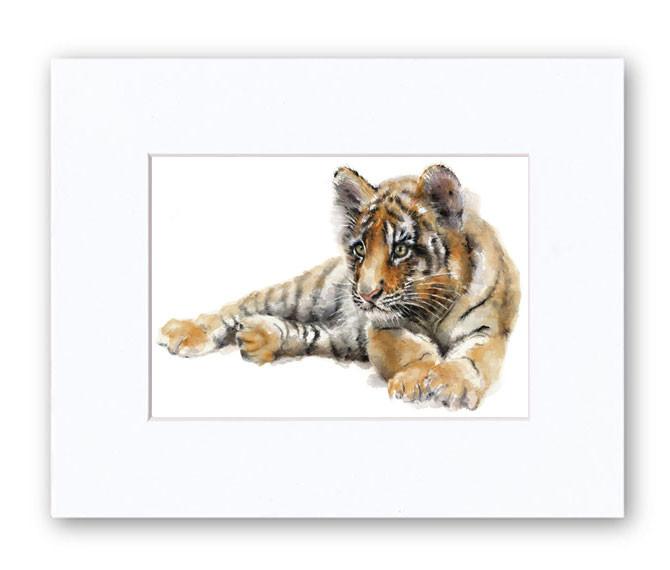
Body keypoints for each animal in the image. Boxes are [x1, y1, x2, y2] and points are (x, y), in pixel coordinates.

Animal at [158, 164, 520, 410]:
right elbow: (411, 351)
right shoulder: (385, 328)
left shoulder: (488, 330)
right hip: (306, 291)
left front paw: (450, 385)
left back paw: (259, 337)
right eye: (360, 249)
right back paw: (185, 332)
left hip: (343, 338)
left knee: (311, 334)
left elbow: (471, 359)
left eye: (401, 249)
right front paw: (418, 378)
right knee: (240, 306)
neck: (434, 307)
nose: (366, 294)